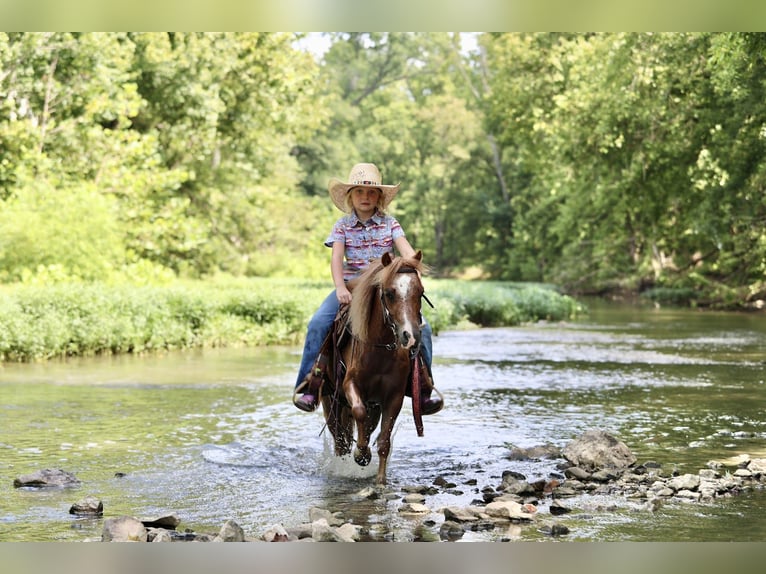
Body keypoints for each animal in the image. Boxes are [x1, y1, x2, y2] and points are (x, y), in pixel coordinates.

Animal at [320, 251, 427, 485]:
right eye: (389, 293)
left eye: (421, 292)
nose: (410, 336)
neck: (379, 349)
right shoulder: (350, 385)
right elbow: (359, 413)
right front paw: (361, 454)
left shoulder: (393, 397)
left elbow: (384, 440)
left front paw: (380, 480)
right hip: (330, 402)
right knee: (340, 441)